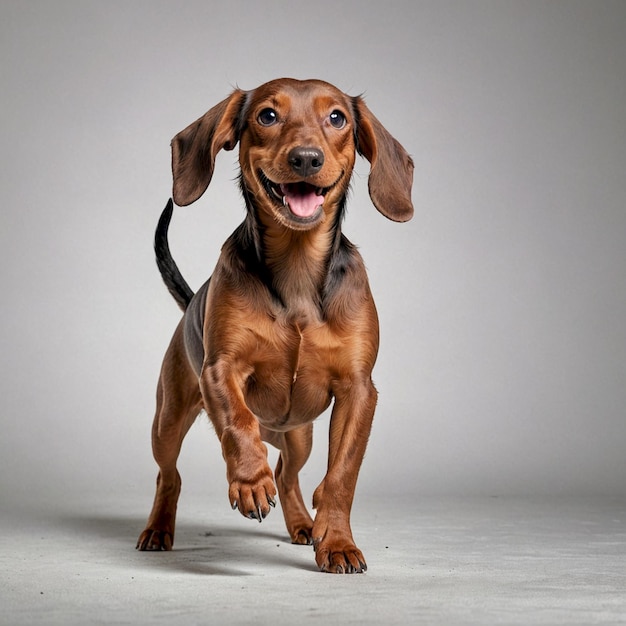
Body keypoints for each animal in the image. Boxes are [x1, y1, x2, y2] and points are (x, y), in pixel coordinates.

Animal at [136, 77, 412, 572]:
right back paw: (158, 528)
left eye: (337, 117)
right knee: (170, 475)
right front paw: (249, 481)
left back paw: (304, 523)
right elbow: (238, 422)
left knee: (287, 472)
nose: (306, 158)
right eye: (267, 115)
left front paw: (336, 540)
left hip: (298, 434)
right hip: (167, 423)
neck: (297, 269)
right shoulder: (220, 369)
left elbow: (342, 474)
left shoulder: (359, 390)